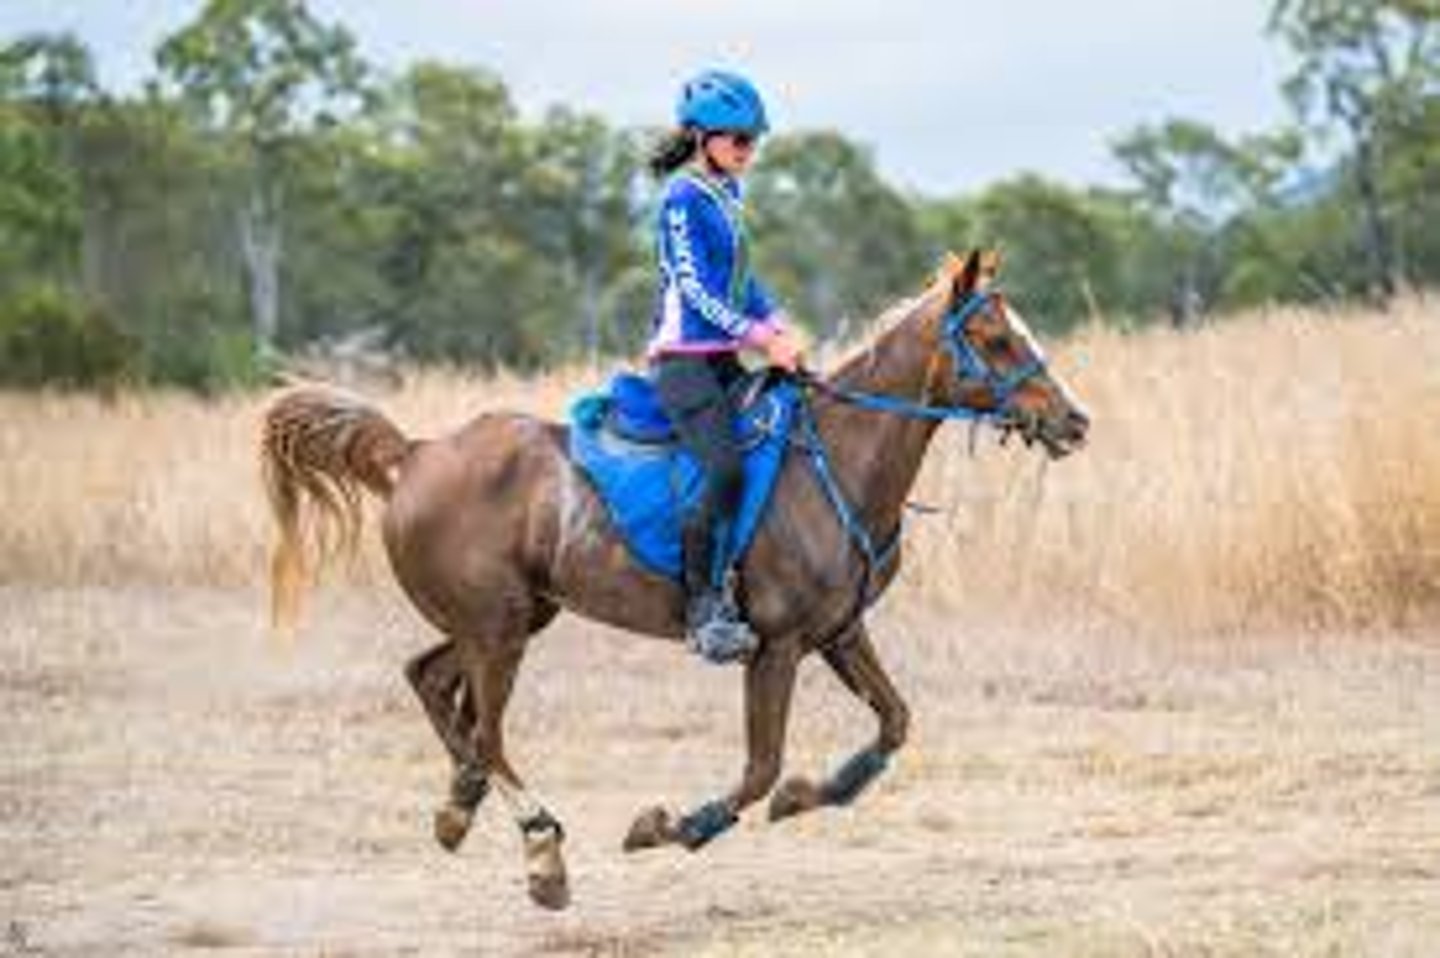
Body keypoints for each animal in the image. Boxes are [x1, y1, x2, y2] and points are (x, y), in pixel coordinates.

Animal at [259, 249, 1089, 910]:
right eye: (993, 339)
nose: (1074, 422)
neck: (837, 462)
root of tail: (416, 453)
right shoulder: (776, 646)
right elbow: (759, 768)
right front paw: (673, 826)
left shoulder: (840, 632)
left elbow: (893, 724)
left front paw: (804, 797)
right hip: (497, 633)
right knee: (487, 731)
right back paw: (541, 851)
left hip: (510, 619)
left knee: (431, 682)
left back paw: (459, 805)